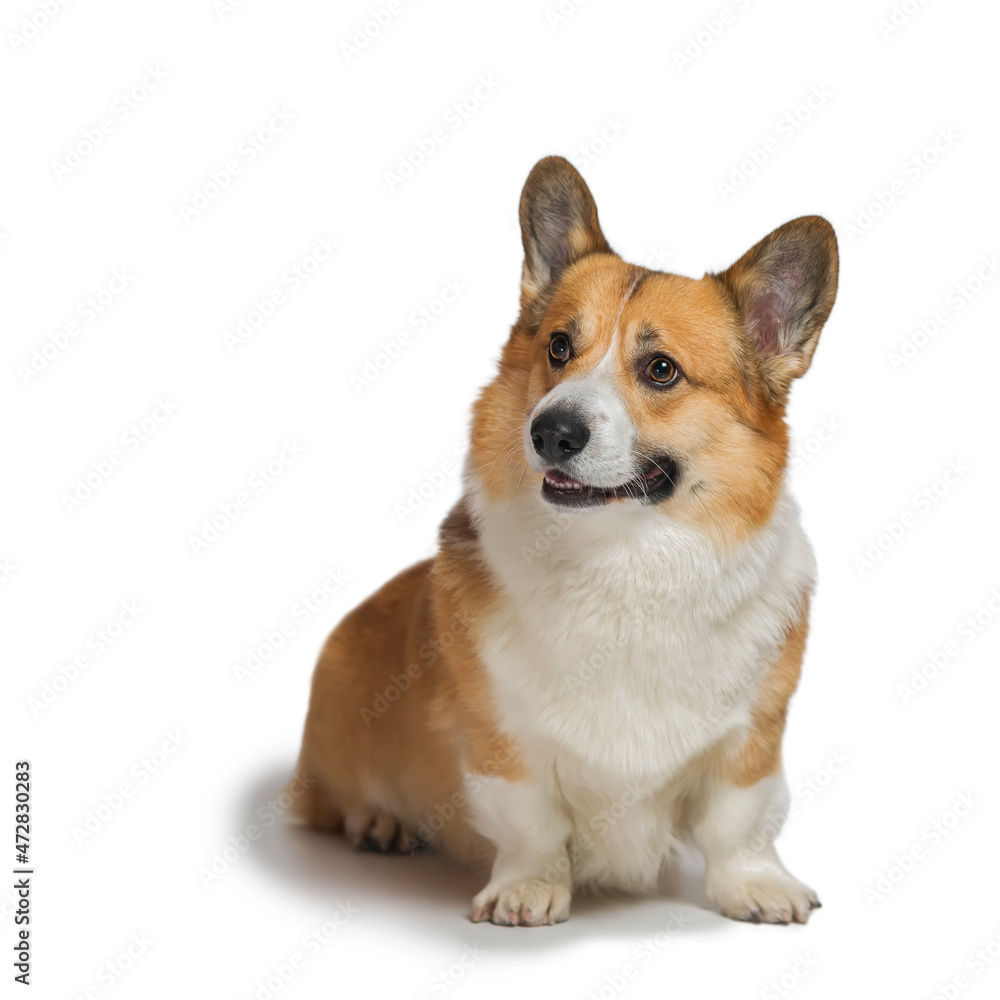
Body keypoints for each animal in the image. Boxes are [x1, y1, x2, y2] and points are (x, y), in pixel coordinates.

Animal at [294, 156, 836, 928]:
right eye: (558, 347)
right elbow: (532, 824)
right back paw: (379, 822)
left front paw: (755, 885)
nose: (550, 431)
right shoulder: (503, 738)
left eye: (661, 369)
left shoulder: (752, 736)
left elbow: (740, 820)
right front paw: (527, 888)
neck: (623, 558)